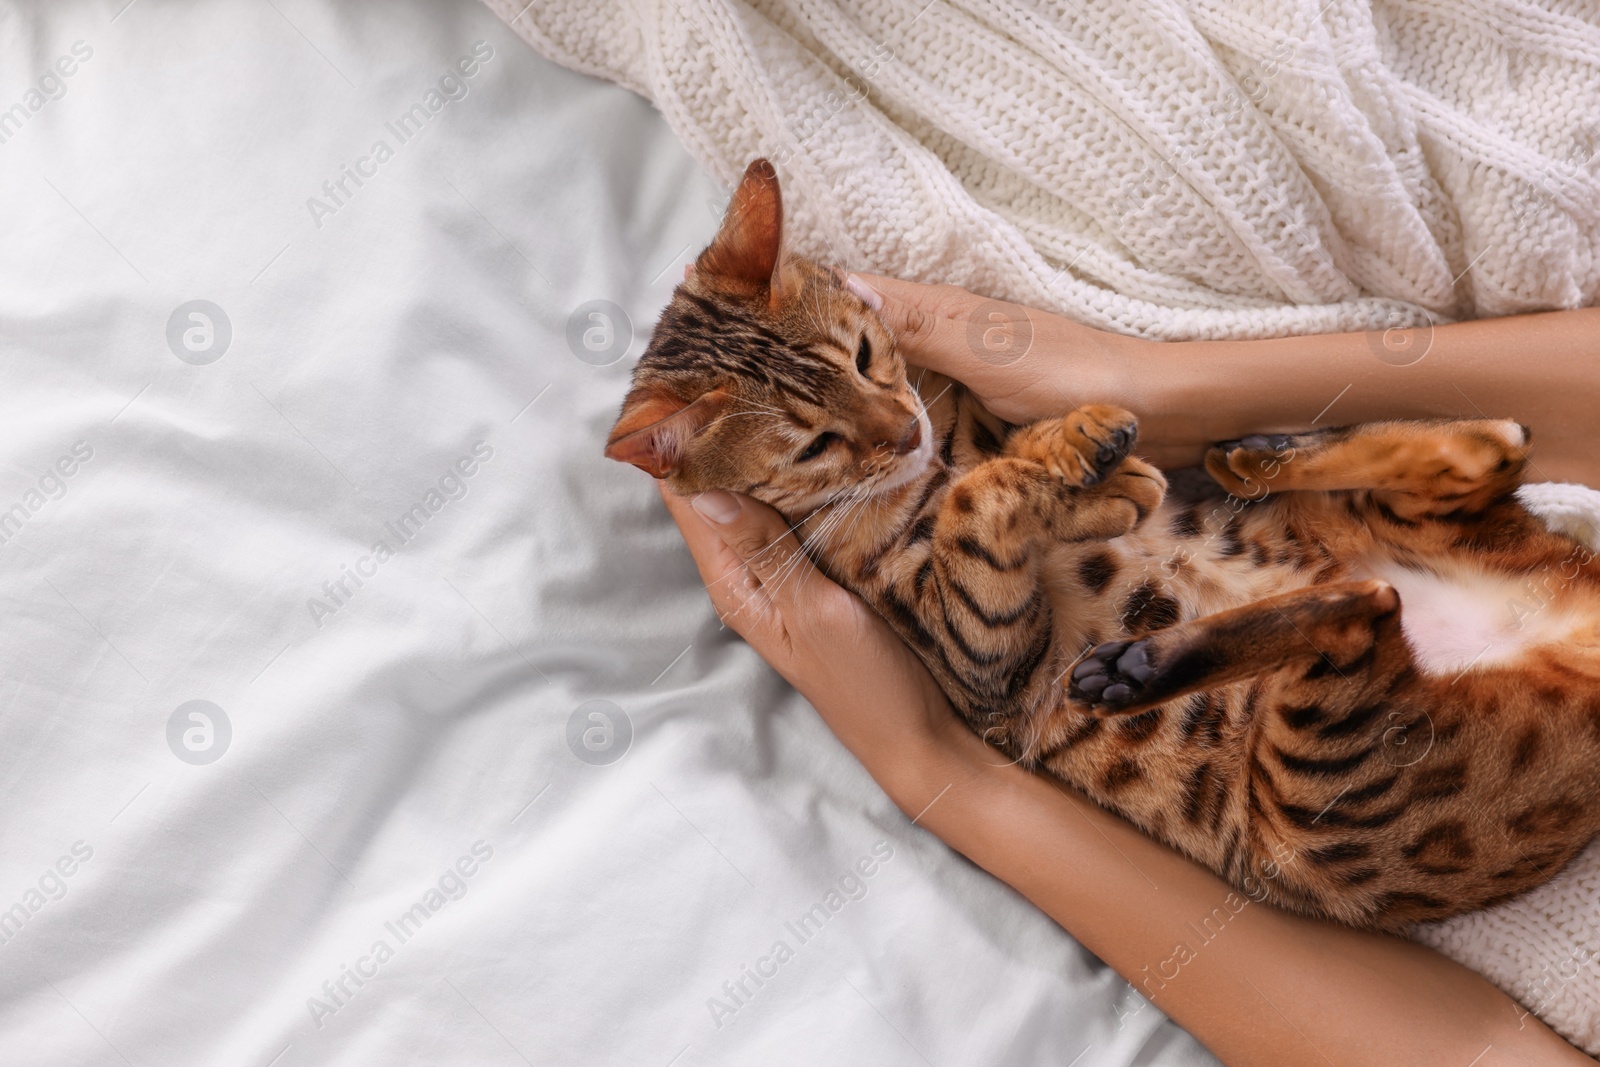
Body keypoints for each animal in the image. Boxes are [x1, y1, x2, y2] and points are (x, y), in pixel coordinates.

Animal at [604, 160, 1600, 934]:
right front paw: (1080, 483)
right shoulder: (974, 651)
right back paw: (1141, 654)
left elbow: (1001, 458)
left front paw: (1083, 452)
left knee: (1488, 450)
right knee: (1378, 596)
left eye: (861, 353)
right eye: (814, 445)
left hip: (1370, 555)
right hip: (1319, 809)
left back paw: (1249, 457)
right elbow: (974, 503)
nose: (902, 431)